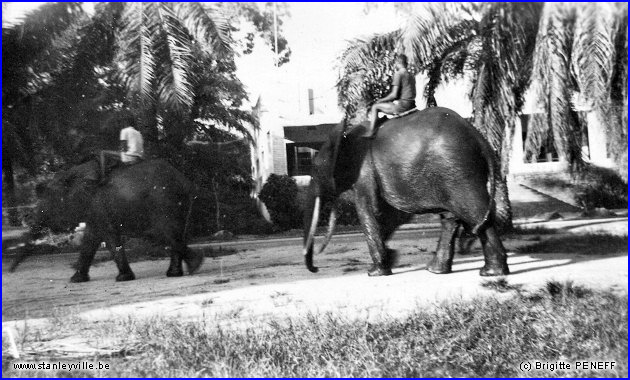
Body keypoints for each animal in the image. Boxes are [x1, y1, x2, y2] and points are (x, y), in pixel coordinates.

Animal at [34, 158, 204, 282]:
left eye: (50, 198)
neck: (74, 172)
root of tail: (185, 180)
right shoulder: (95, 209)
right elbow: (90, 239)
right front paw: (75, 280)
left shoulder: (98, 204)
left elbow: (109, 237)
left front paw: (123, 279)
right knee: (174, 233)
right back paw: (179, 272)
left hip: (163, 199)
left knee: (166, 233)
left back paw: (194, 265)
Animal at [304, 106, 512, 276]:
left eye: (315, 171)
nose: (316, 268)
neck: (346, 134)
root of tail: (480, 139)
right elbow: (389, 215)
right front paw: (392, 258)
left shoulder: (365, 171)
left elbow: (370, 210)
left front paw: (374, 272)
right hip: (452, 174)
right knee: (452, 217)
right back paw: (437, 270)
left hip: (458, 171)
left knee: (474, 213)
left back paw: (490, 273)